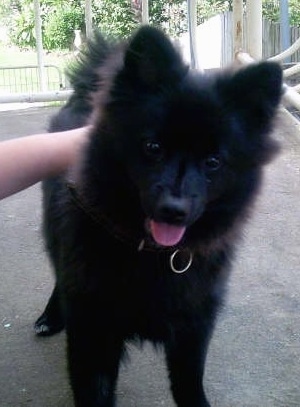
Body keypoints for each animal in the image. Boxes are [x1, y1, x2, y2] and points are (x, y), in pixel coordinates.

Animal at [34, 26, 282, 407]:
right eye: (153, 147)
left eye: (213, 161)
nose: (173, 211)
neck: (151, 253)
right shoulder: (94, 334)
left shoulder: (194, 329)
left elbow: (189, 384)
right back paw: (50, 316)